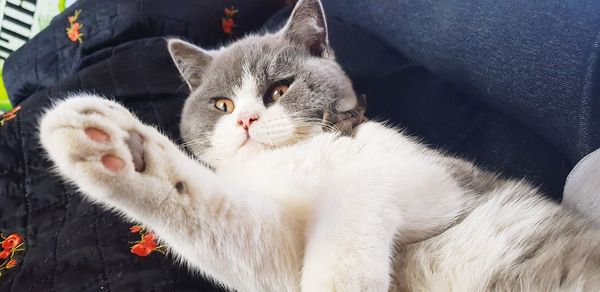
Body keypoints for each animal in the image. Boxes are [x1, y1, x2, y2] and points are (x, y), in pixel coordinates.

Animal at [38, 0, 600, 290]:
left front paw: (341, 279)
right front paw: (116, 148)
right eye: (221, 103)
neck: (296, 156)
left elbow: (357, 187)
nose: (246, 119)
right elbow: (253, 244)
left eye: (279, 89)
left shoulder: (449, 183)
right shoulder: (280, 253)